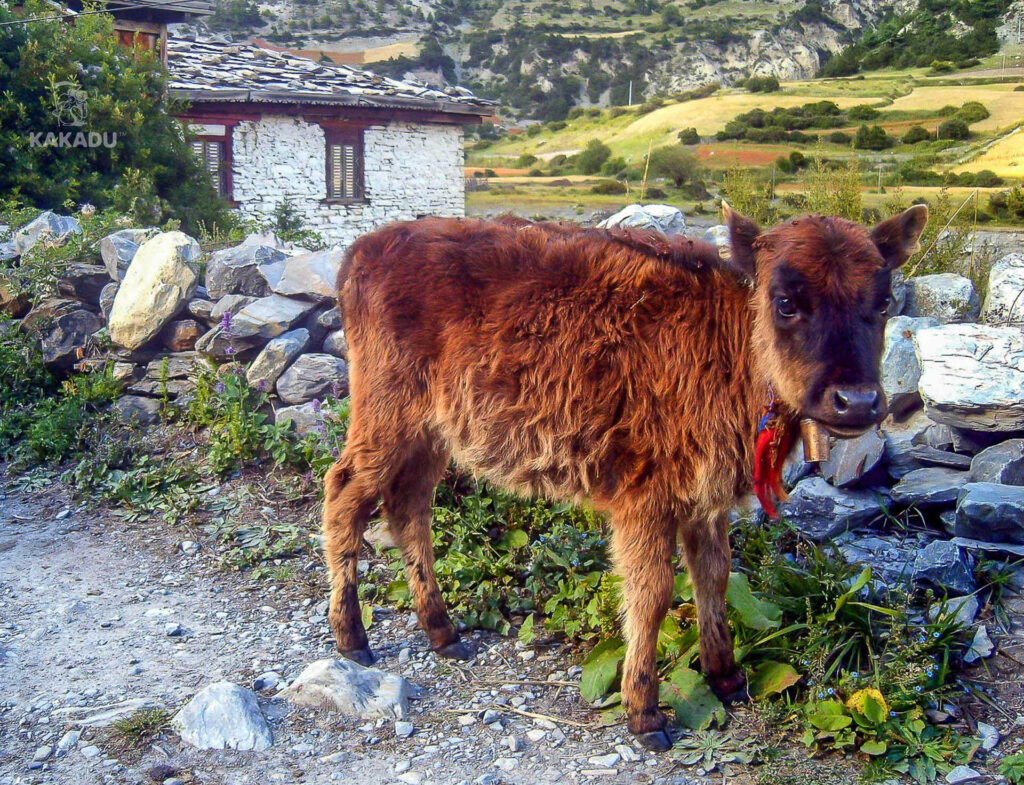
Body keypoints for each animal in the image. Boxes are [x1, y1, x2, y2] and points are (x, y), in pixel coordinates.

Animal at [319, 205, 929, 753]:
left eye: (882, 302)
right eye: (786, 303)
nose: (856, 401)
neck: (724, 340)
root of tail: (364, 249)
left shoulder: (704, 501)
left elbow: (714, 577)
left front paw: (727, 679)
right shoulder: (645, 501)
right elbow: (653, 593)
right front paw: (645, 714)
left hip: (432, 434)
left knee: (409, 507)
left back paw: (443, 632)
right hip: (386, 417)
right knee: (345, 494)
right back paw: (353, 638)